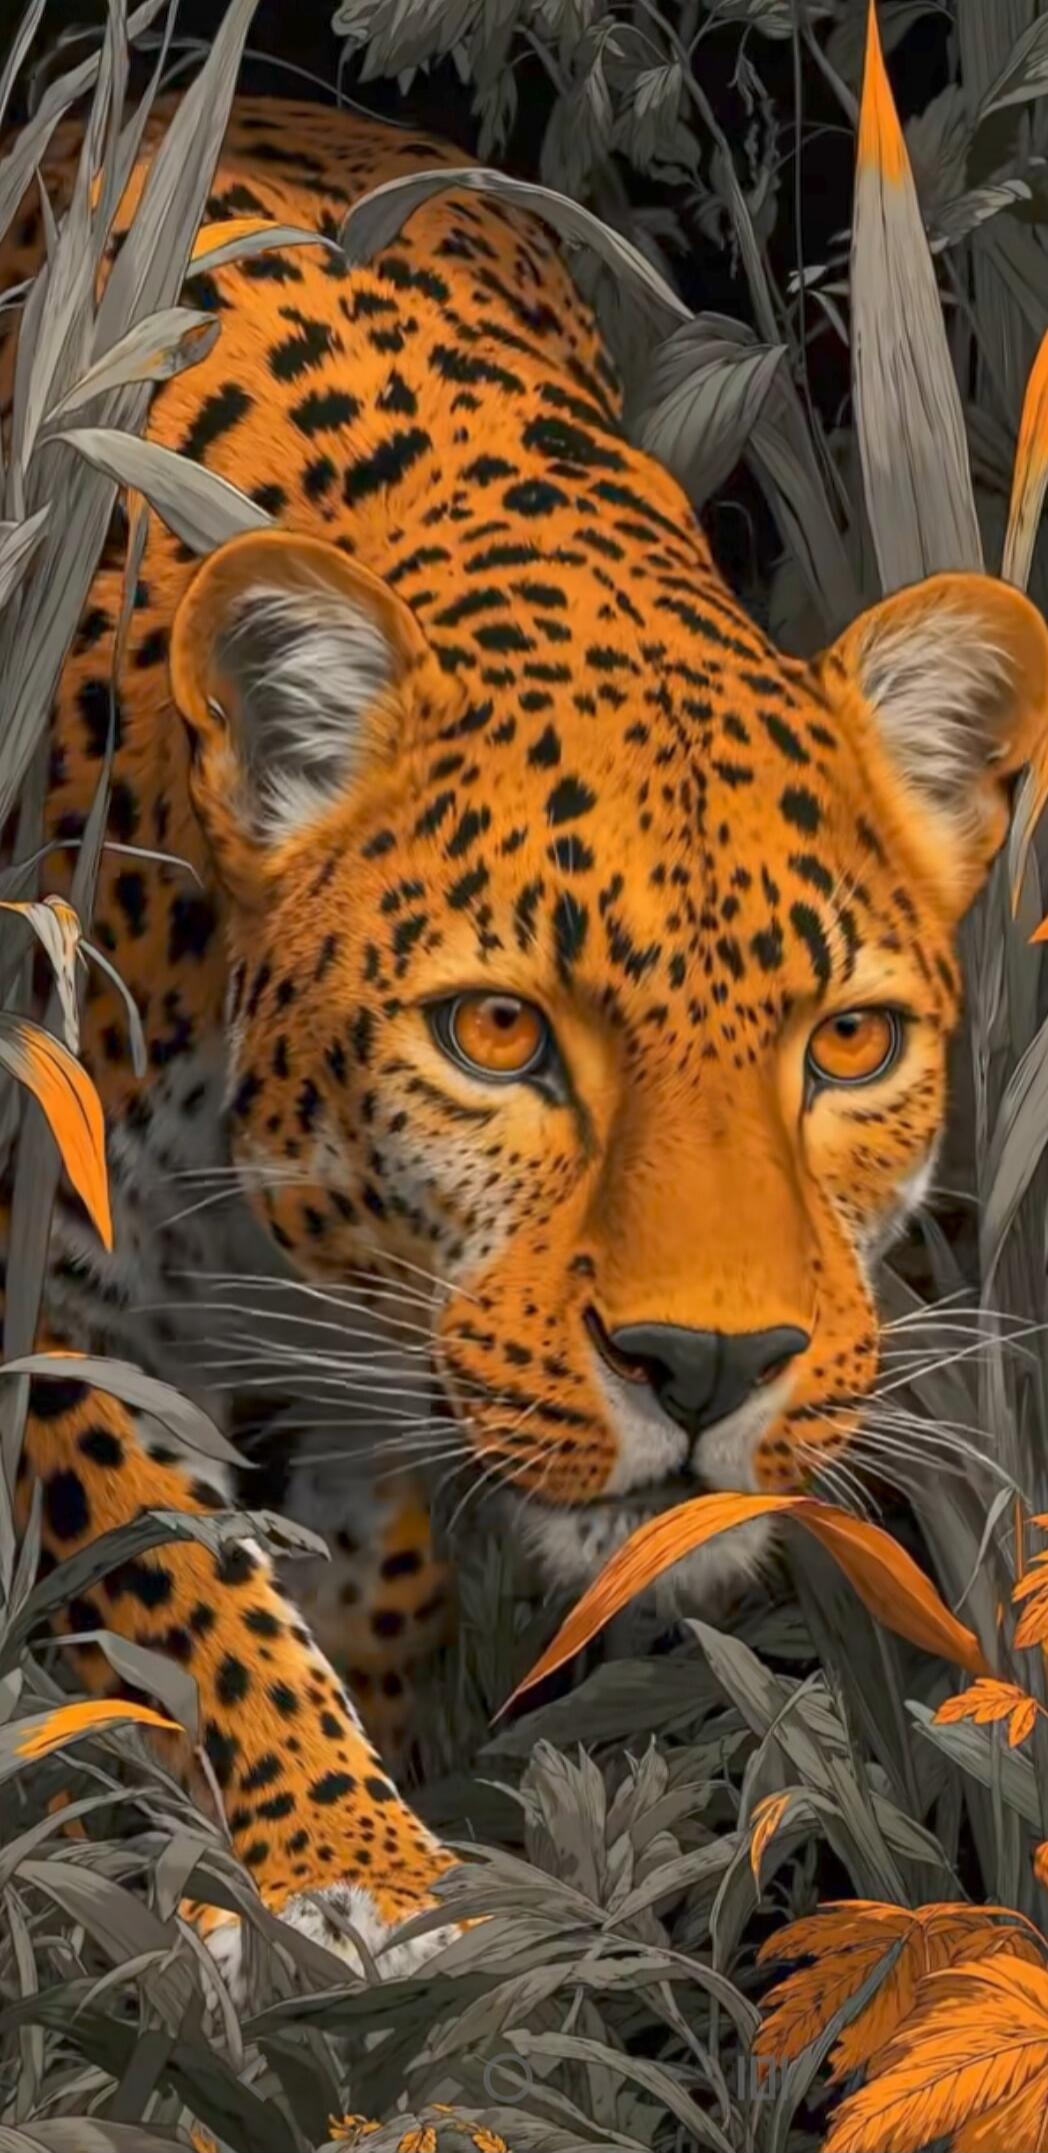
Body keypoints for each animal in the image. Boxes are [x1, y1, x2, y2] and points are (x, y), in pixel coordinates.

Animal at [3, 88, 1047, 2017]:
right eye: (497, 1030)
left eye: (847, 1043)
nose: (705, 1368)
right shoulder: (47, 1274)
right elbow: (178, 1563)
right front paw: (343, 1866)